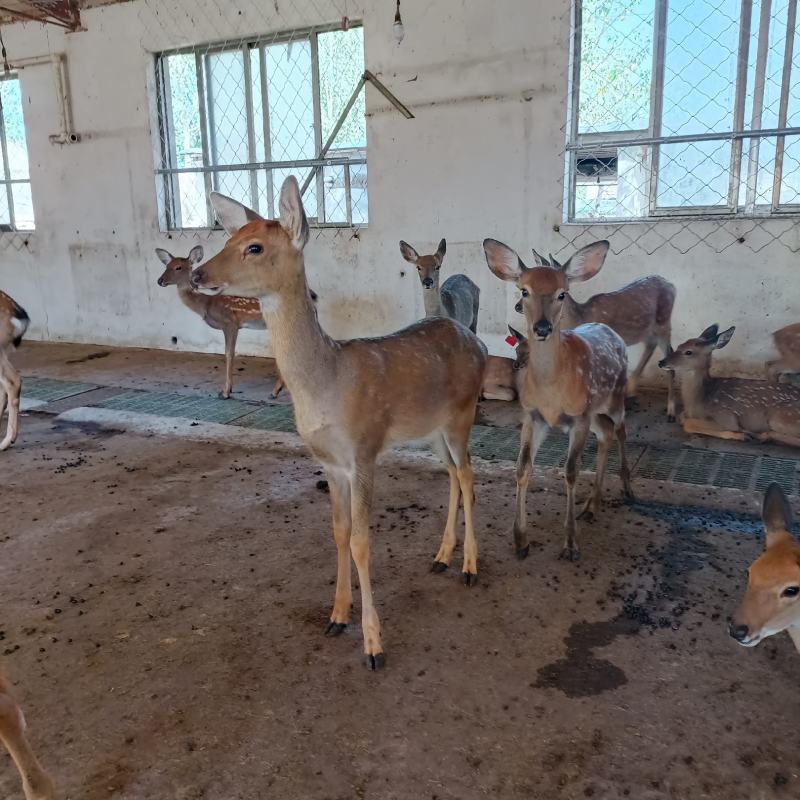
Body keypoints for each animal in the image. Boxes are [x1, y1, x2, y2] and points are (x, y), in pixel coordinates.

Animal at [155, 246, 316, 400]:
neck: (206, 304)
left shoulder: (230, 322)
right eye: (166, 265)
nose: (160, 280)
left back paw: (276, 391)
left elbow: (229, 354)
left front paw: (225, 392)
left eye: (178, 267)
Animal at [190, 176, 487, 670]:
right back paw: (442, 556)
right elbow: (339, 533)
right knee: (450, 474)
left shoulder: (364, 450)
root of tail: (477, 342)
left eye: (254, 247)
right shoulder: (329, 462)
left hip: (462, 414)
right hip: (431, 430)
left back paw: (469, 566)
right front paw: (336, 616)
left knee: (468, 476)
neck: (327, 384)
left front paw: (373, 645)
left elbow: (362, 540)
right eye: (229, 238)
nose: (198, 273)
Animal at [483, 238, 633, 562]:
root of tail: (610, 330)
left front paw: (571, 544)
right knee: (606, 433)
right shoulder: (532, 416)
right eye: (524, 290)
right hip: (593, 410)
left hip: (615, 395)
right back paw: (592, 505)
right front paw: (520, 540)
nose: (542, 328)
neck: (551, 389)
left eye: (562, 293)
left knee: (621, 429)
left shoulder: (577, 418)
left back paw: (627, 488)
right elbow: (522, 468)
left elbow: (571, 471)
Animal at [531, 248, 677, 420]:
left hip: (664, 322)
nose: (517, 306)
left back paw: (671, 410)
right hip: (647, 328)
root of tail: (672, 285)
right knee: (650, 345)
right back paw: (631, 391)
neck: (580, 317)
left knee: (669, 352)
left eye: (560, 292)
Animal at [658, 324, 800, 447]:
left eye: (688, 352)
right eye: (679, 346)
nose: (661, 362)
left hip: (781, 416)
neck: (698, 402)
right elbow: (682, 418)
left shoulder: (725, 416)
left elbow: (688, 424)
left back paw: (760, 435)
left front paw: (742, 434)